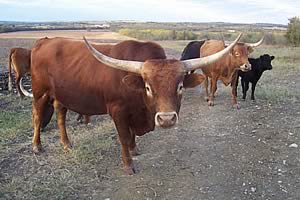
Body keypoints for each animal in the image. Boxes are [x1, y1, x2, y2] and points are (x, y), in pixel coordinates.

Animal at [25, 34, 241, 173]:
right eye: (148, 87)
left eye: (180, 86)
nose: (166, 119)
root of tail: (44, 41)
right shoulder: (117, 111)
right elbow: (123, 136)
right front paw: (128, 164)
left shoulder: (134, 113)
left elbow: (131, 135)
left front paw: (134, 149)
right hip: (40, 93)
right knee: (37, 116)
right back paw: (36, 146)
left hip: (60, 95)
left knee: (60, 116)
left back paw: (66, 144)